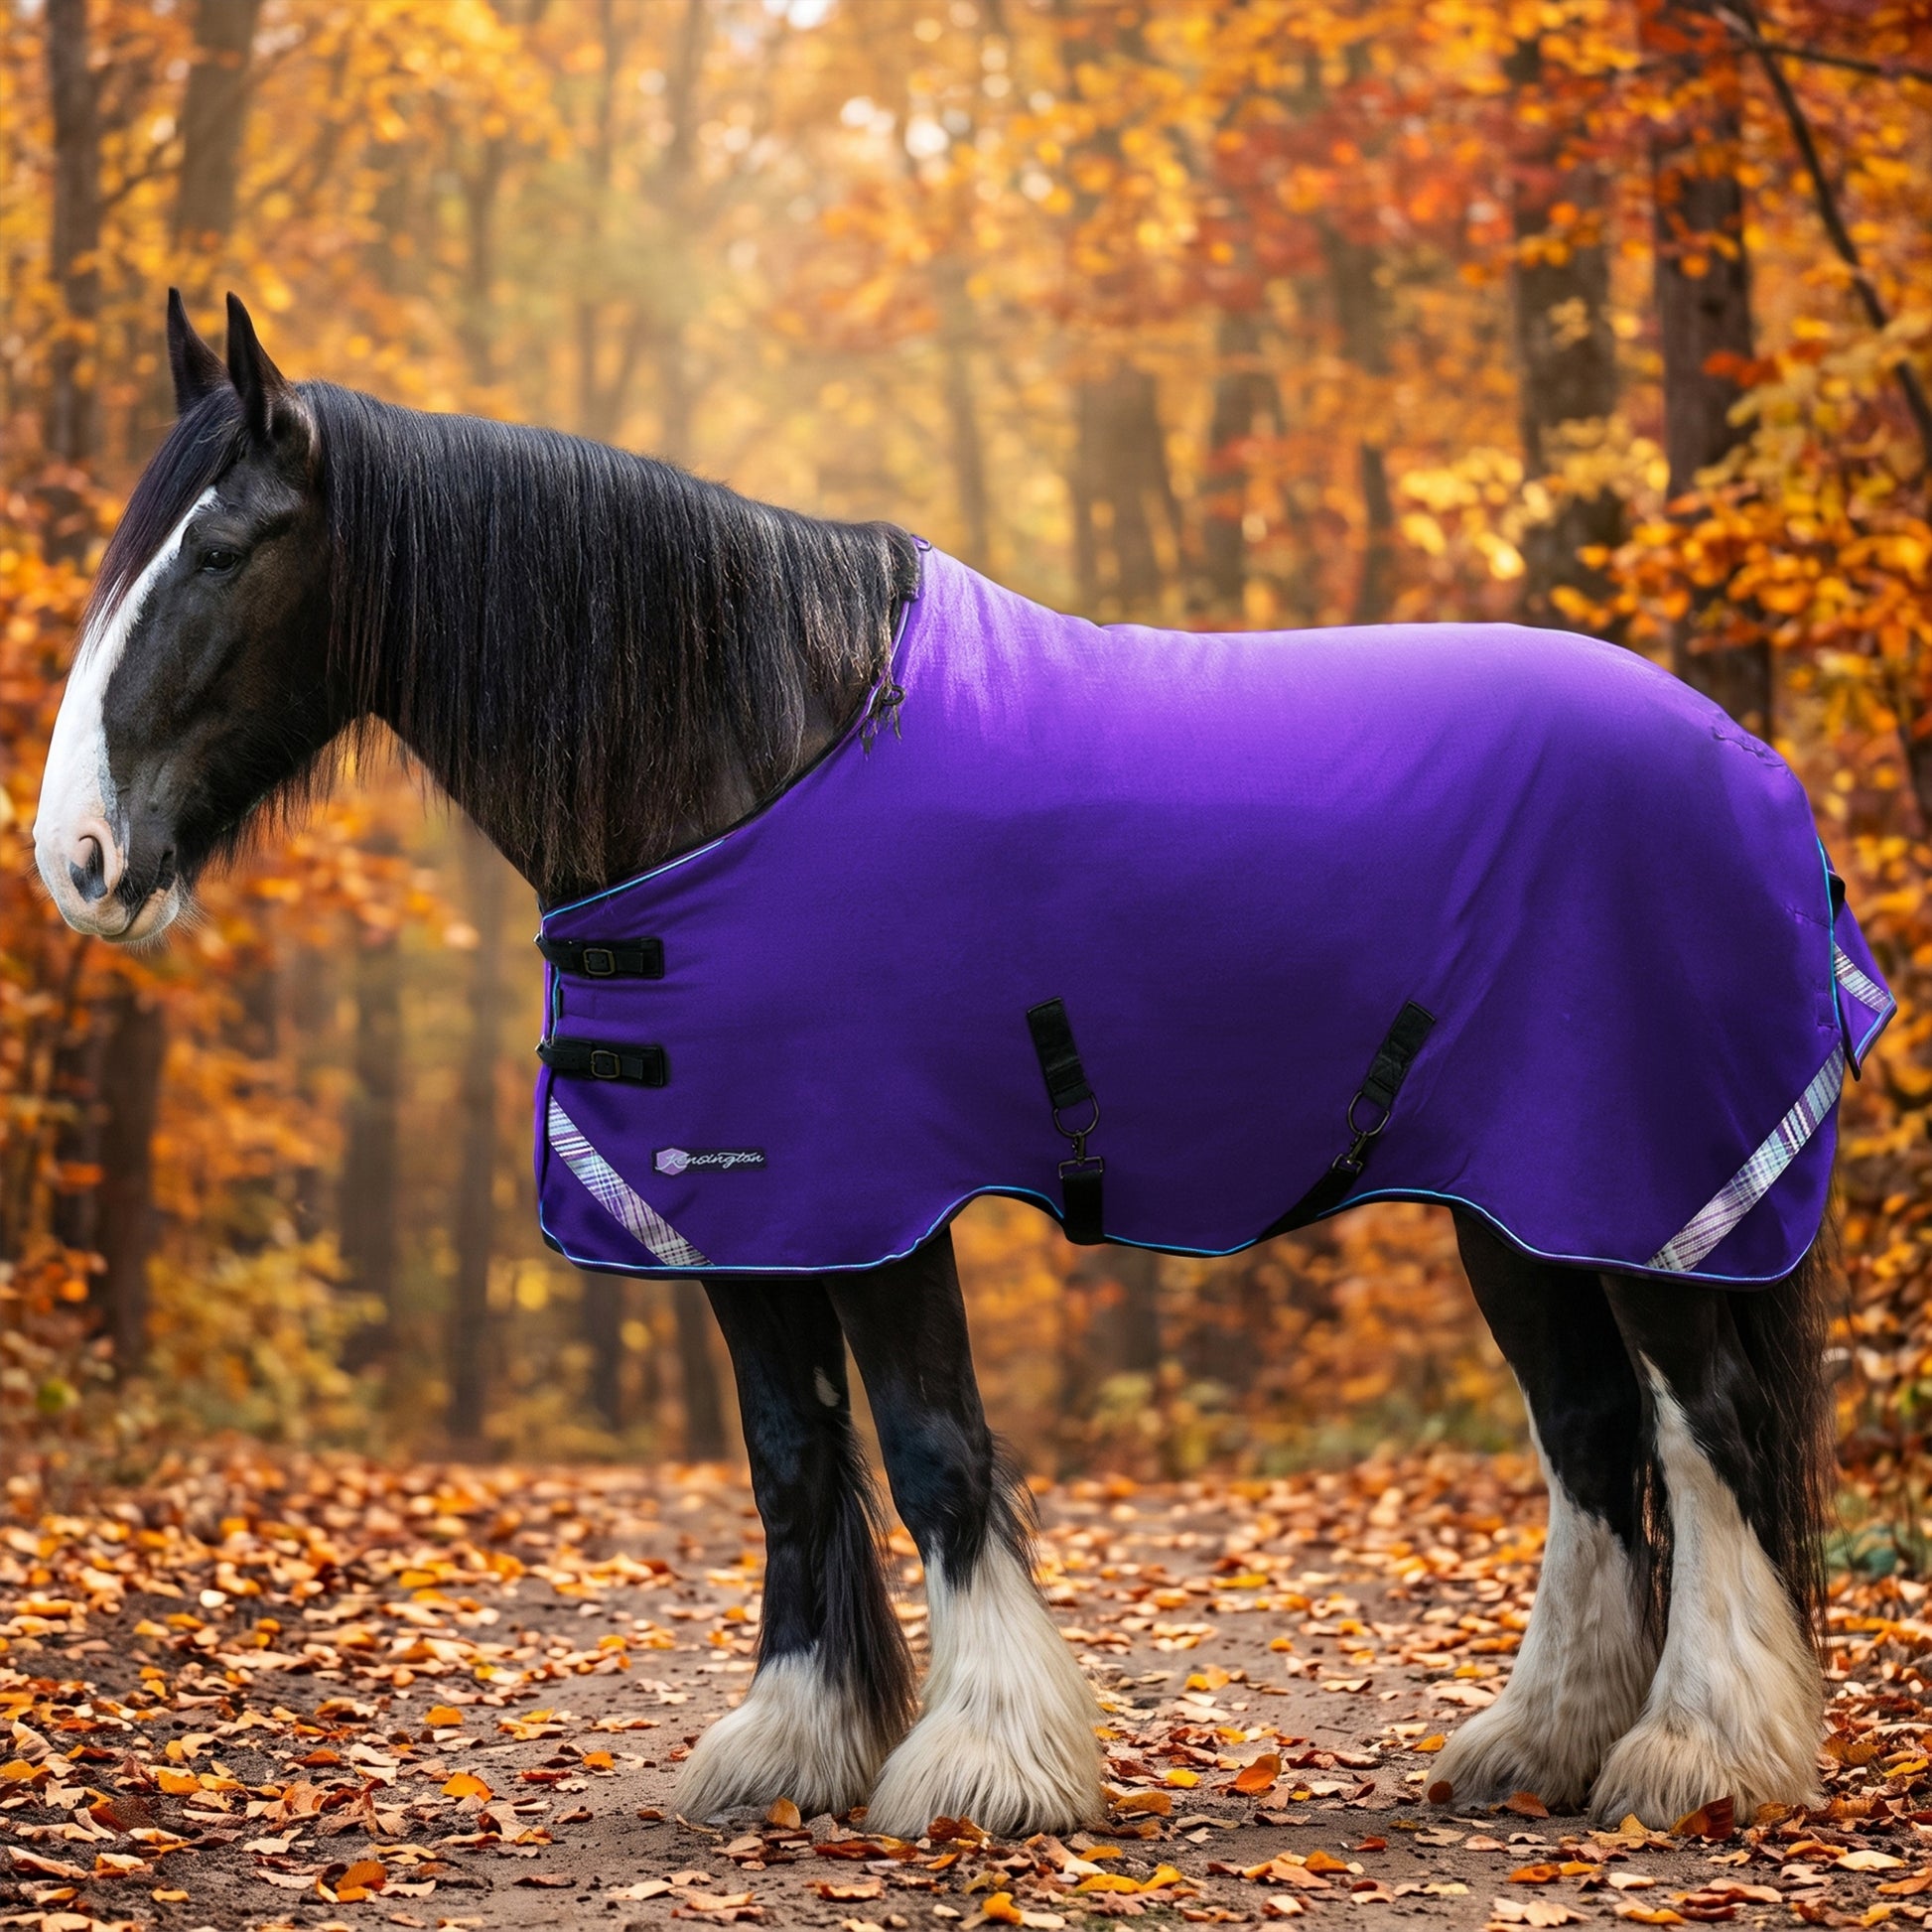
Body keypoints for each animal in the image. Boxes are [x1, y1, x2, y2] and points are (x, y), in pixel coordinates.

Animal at [33, 291, 1880, 1838]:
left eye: (222, 550)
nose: (77, 859)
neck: (755, 745)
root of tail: (1751, 767)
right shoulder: (751, 1208)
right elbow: (790, 1454)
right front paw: (792, 1744)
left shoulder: (877, 1194)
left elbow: (931, 1445)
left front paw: (989, 1764)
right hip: (1520, 1200)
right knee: (1591, 1434)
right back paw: (1543, 1743)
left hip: (1647, 1187)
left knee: (1701, 1426)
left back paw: (1698, 1753)